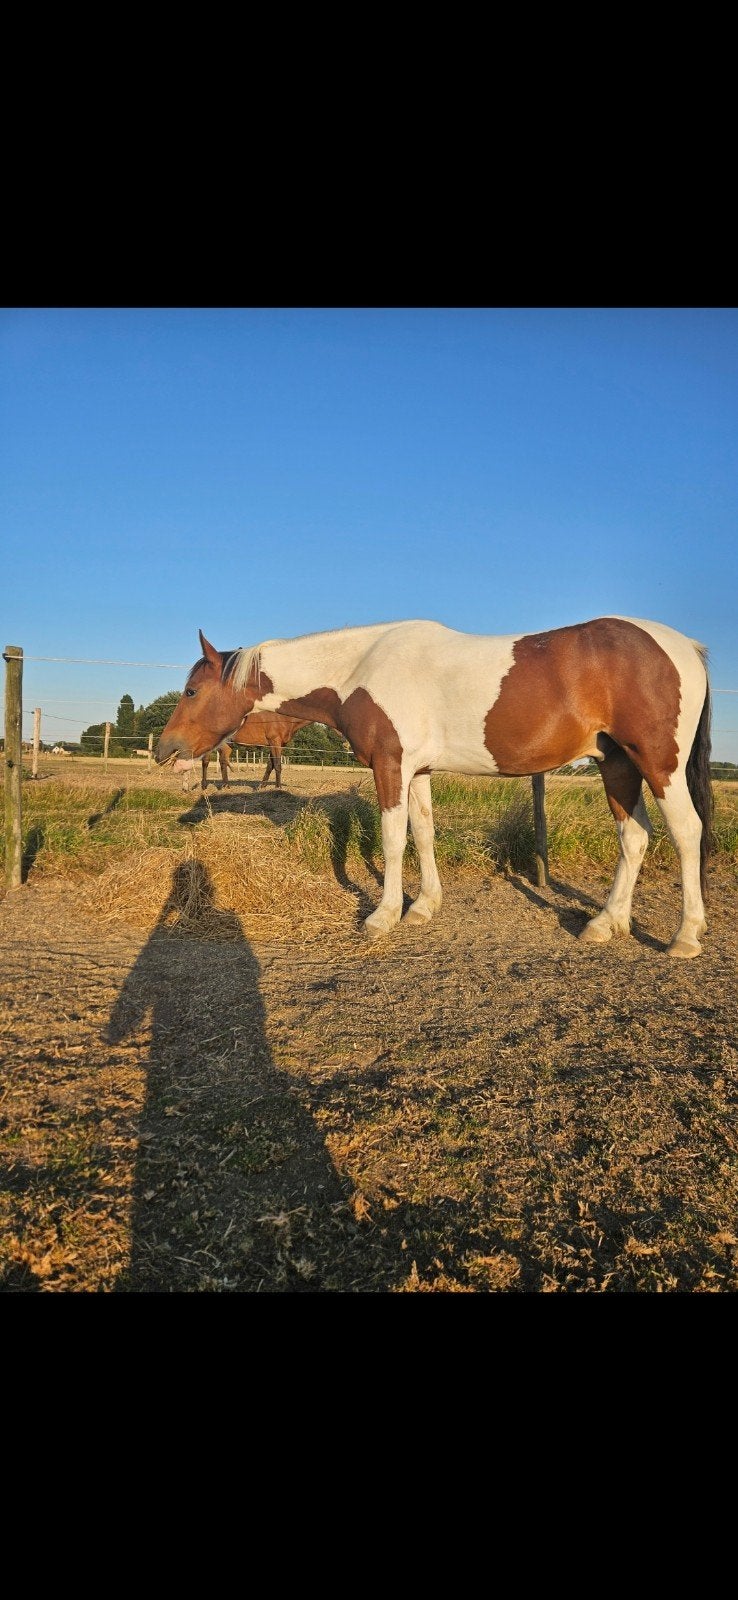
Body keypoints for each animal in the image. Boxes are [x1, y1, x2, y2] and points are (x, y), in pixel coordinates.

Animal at [174, 711, 311, 792]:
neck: (283, 719)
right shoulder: (275, 742)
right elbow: (277, 765)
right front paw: (278, 787)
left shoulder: (278, 745)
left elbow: (270, 765)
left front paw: (262, 786)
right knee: (206, 762)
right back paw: (204, 786)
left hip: (227, 745)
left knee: (223, 761)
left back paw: (226, 786)